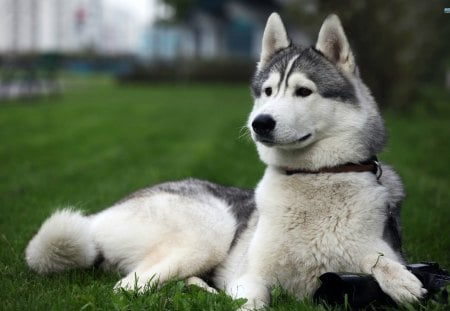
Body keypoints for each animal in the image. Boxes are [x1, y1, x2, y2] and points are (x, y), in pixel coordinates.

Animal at [26, 12, 428, 310]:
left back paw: (199, 289)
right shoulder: (250, 277)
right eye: (268, 91)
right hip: (210, 229)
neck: (315, 177)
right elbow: (254, 301)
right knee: (128, 287)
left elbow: (379, 258)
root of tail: (100, 215)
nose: (260, 123)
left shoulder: (377, 248)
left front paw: (400, 279)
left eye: (303, 91)